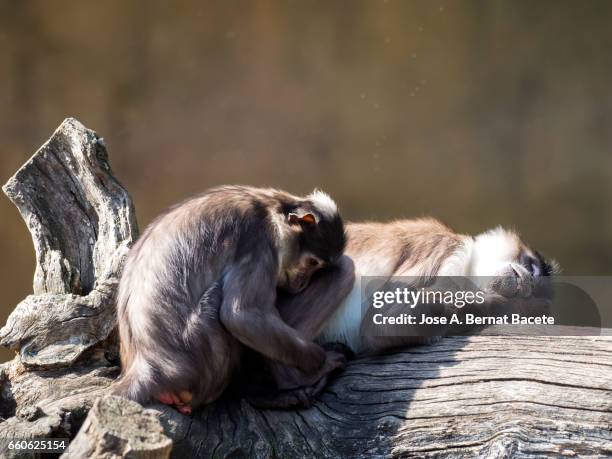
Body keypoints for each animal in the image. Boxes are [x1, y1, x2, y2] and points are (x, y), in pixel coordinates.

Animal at [115, 185, 356, 416]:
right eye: (313, 263)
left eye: (317, 267)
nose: (302, 284)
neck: (270, 206)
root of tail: (148, 367)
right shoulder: (258, 241)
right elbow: (241, 316)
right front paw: (321, 363)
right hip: (202, 358)